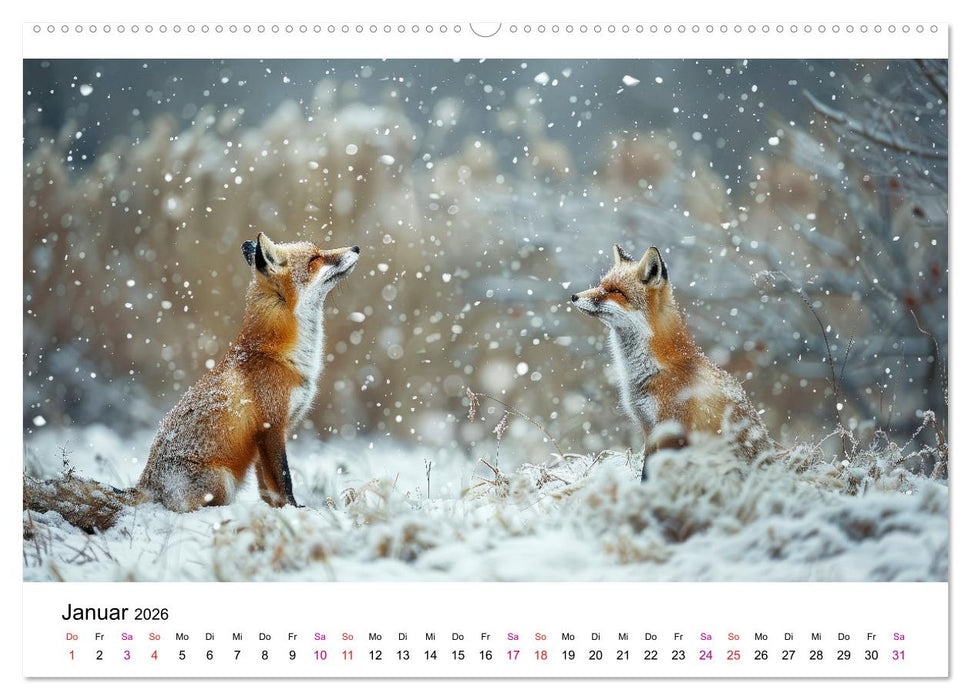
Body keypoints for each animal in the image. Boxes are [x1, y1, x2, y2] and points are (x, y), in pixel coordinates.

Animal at [25, 234, 359, 529]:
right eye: (316, 258)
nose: (355, 247)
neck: (277, 353)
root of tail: (145, 486)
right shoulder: (271, 428)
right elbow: (284, 480)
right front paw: (295, 511)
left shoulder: (266, 437)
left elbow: (268, 488)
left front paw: (278, 513)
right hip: (222, 482)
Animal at [571, 244, 770, 481]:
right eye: (601, 285)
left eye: (616, 291)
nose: (574, 296)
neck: (651, 371)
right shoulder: (648, 429)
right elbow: (646, 473)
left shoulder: (672, 430)